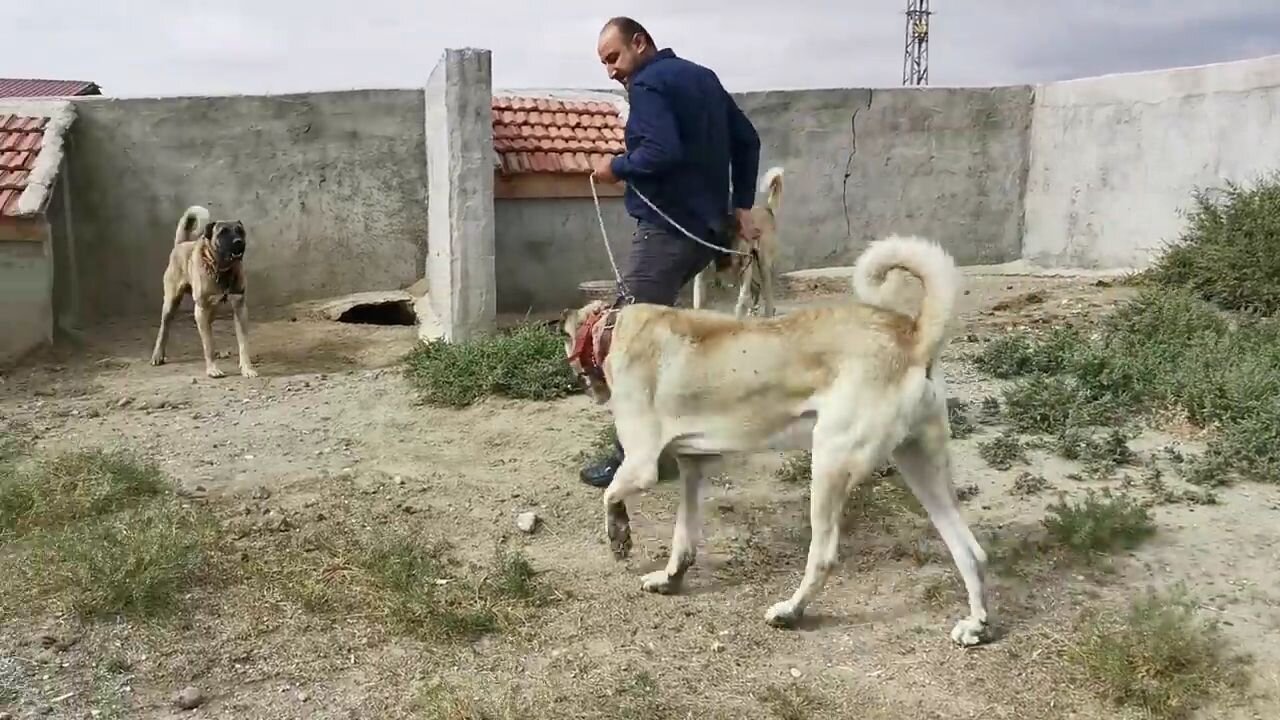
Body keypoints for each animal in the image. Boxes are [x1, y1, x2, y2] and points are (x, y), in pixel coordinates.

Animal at [560, 233, 988, 640]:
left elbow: (610, 493)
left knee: (824, 555)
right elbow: (684, 535)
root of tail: (912, 337)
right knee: (970, 550)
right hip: (920, 466)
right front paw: (670, 578)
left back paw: (790, 611)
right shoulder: (693, 468)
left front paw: (619, 536)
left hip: (830, 463)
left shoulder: (641, 465)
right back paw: (977, 625)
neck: (609, 330)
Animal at [696, 166, 783, 317]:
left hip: (762, 264)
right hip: (739, 272)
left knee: (767, 292)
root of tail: (767, 209)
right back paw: (753, 310)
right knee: (756, 288)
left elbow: (742, 298)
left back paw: (767, 313)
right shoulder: (701, 276)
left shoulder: (745, 267)